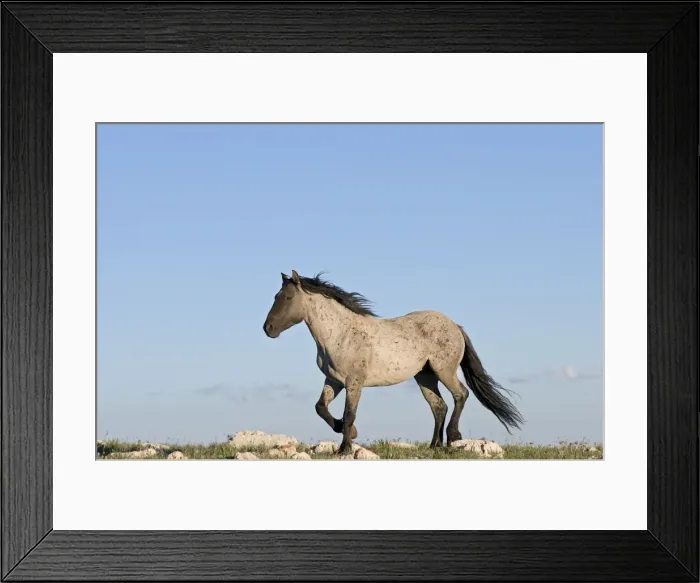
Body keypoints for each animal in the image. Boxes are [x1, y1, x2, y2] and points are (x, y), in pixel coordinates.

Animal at [263, 270, 524, 456]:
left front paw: (345, 447)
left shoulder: (354, 382)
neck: (340, 333)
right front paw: (347, 434)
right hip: (425, 376)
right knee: (439, 406)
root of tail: (455, 326)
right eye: (275, 297)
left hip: (444, 371)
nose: (268, 329)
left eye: (287, 297)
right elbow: (321, 408)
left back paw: (453, 437)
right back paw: (434, 445)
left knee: (460, 394)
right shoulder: (333, 380)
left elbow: (349, 413)